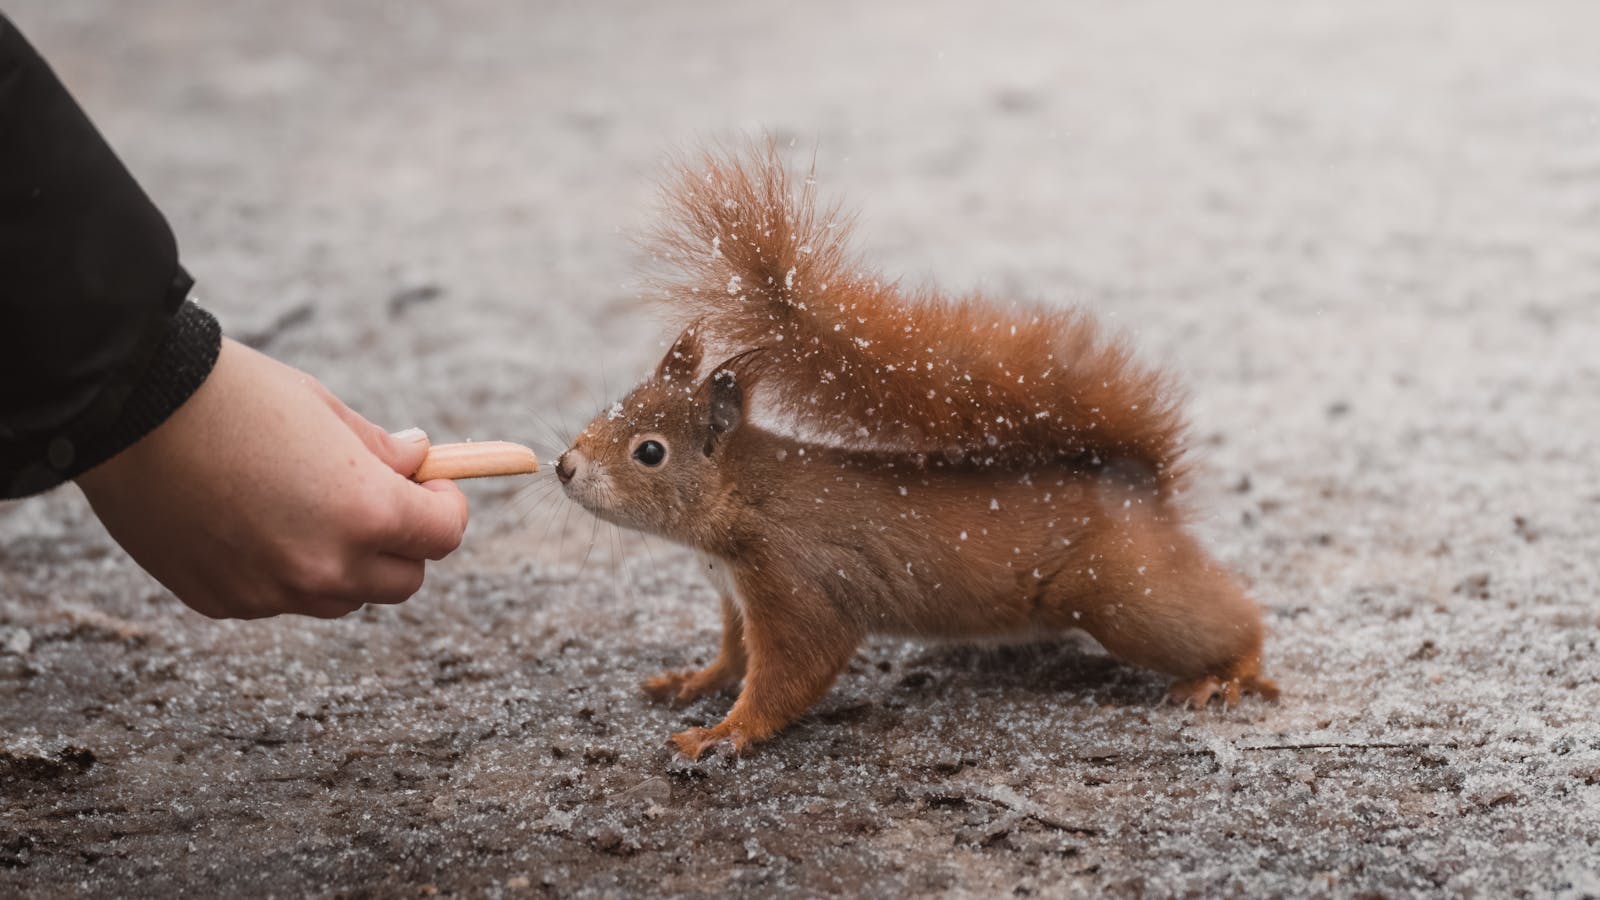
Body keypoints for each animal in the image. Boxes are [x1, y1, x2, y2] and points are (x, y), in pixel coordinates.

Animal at [556, 141, 1280, 755]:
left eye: (650, 452)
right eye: (605, 410)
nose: (565, 466)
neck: (745, 491)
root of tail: (1133, 484)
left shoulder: (795, 577)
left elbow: (795, 668)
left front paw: (725, 733)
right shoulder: (737, 594)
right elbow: (736, 655)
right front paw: (696, 680)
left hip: (1124, 595)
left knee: (1227, 620)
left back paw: (1231, 671)